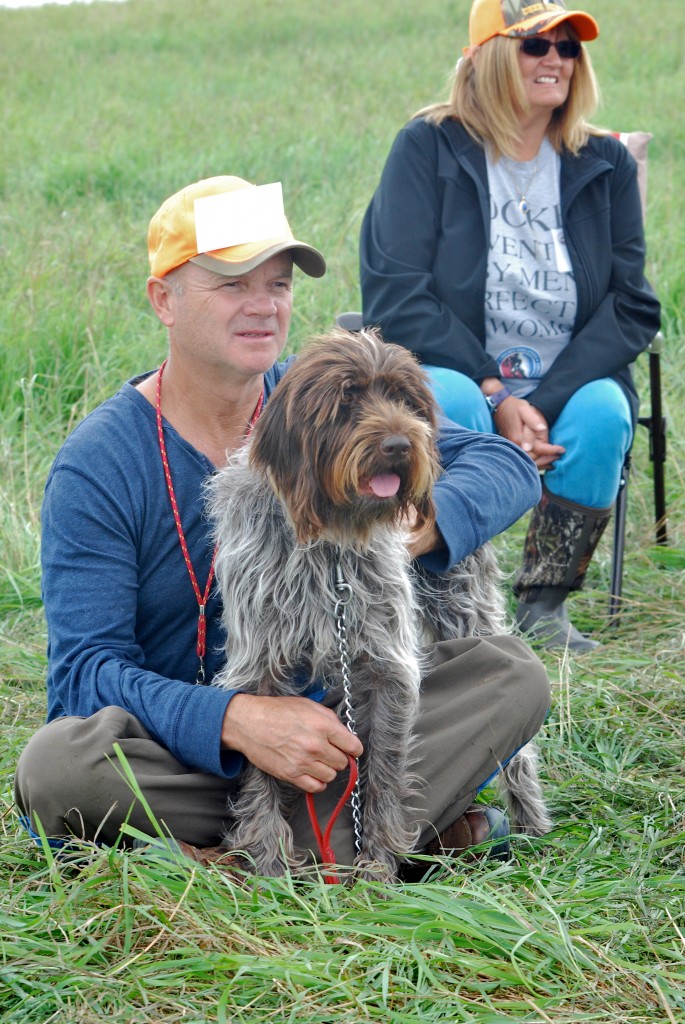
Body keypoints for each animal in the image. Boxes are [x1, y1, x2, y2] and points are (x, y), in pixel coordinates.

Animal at [206, 327, 551, 880]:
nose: (400, 444)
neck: (330, 542)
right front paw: (271, 867)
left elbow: (383, 774)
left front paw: (376, 869)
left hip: (468, 615)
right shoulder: (260, 668)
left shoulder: (385, 666)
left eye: (405, 400)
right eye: (346, 400)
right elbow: (261, 770)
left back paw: (530, 822)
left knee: (518, 746)